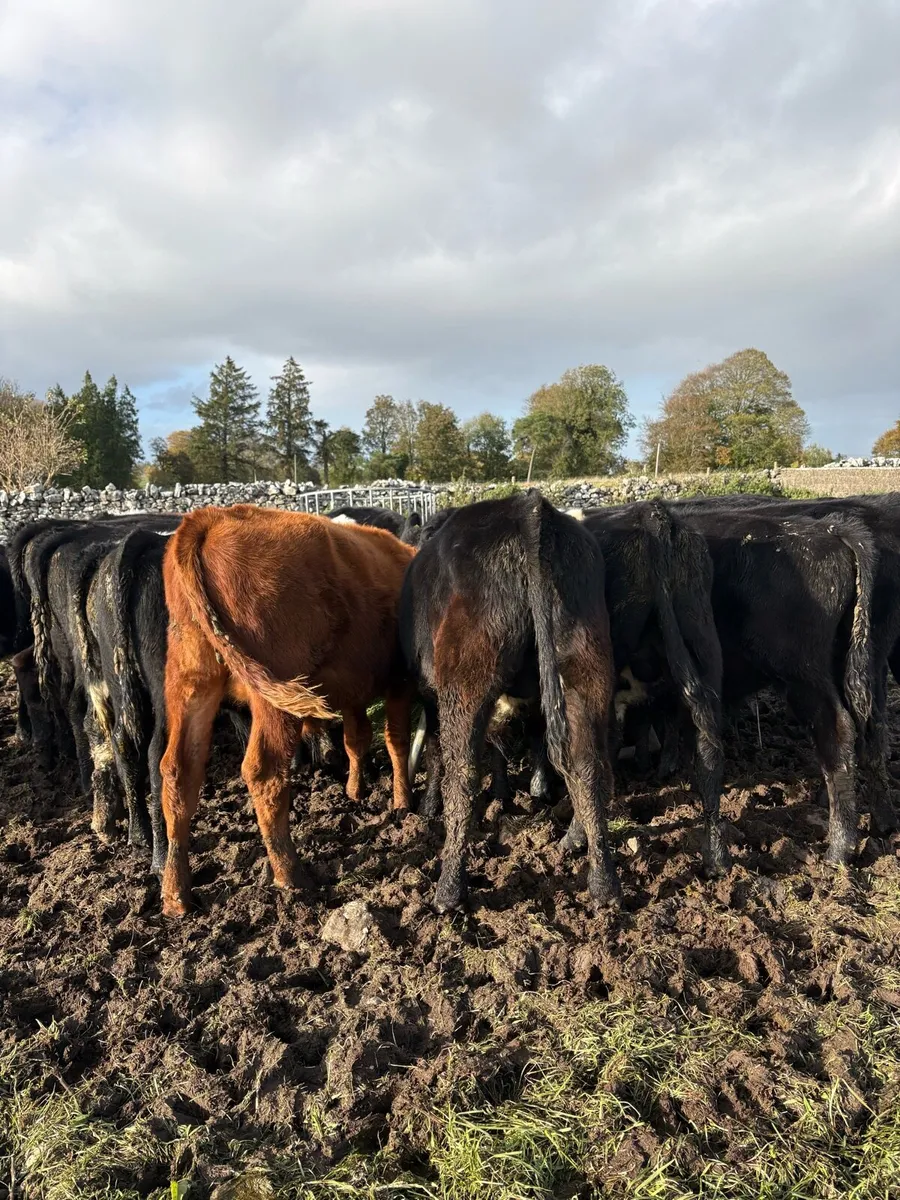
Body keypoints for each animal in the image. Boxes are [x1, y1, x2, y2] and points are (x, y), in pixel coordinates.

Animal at [158, 505, 416, 917]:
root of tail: (211, 517)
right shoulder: (398, 683)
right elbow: (396, 742)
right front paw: (402, 802)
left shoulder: (354, 690)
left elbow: (356, 740)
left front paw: (355, 791)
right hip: (274, 695)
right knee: (264, 773)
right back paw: (290, 874)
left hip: (191, 679)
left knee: (179, 773)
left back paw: (176, 893)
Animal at [400, 489, 619, 912]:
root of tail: (529, 509)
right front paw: (504, 796)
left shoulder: (429, 694)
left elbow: (437, 751)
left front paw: (428, 807)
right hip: (585, 668)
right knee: (588, 764)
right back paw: (601, 881)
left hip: (466, 682)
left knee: (463, 774)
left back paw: (449, 889)